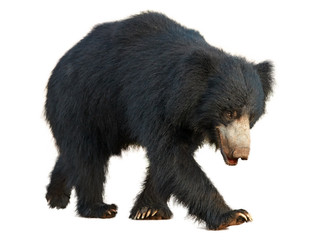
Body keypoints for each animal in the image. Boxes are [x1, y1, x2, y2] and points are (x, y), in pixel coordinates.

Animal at [45, 12, 272, 230]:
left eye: (251, 117)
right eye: (229, 113)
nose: (241, 153)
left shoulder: (186, 123)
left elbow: (168, 161)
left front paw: (149, 210)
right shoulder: (153, 100)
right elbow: (171, 156)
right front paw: (234, 215)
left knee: (73, 155)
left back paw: (56, 196)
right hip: (80, 103)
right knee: (87, 155)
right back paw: (99, 208)